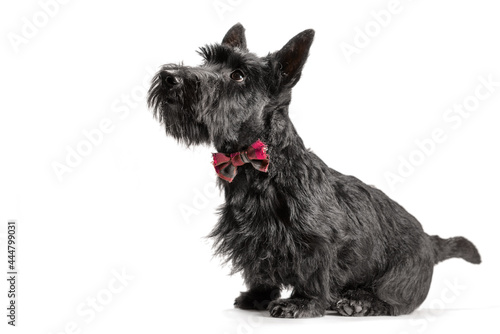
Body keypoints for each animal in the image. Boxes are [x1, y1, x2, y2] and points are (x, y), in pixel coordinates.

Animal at [148, 24, 480, 318]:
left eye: (238, 75)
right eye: (207, 61)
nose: (169, 77)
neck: (259, 166)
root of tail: (430, 240)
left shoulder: (315, 241)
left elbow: (312, 272)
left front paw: (301, 303)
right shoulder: (249, 237)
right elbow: (258, 268)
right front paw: (257, 296)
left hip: (399, 277)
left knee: (392, 300)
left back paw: (358, 302)